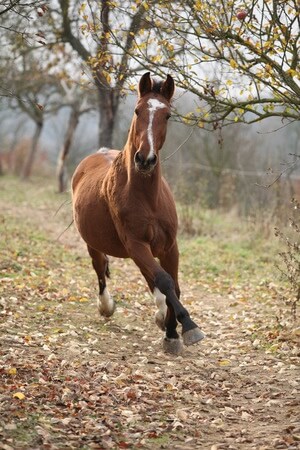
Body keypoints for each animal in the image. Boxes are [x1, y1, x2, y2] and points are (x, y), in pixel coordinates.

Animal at [71, 72, 205, 354]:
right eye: (137, 110)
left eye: (167, 115)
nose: (145, 159)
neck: (147, 198)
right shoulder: (135, 244)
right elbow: (165, 281)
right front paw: (184, 329)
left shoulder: (169, 246)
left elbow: (173, 285)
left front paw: (171, 330)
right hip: (95, 243)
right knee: (100, 270)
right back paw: (106, 306)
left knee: (150, 277)